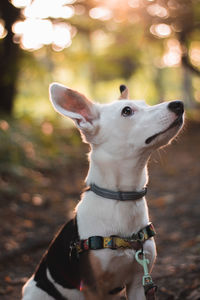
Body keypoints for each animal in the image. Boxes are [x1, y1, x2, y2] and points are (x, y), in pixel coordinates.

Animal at [21, 82, 184, 300]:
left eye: (145, 103)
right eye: (127, 111)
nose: (179, 104)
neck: (120, 200)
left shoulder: (138, 281)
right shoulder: (93, 287)